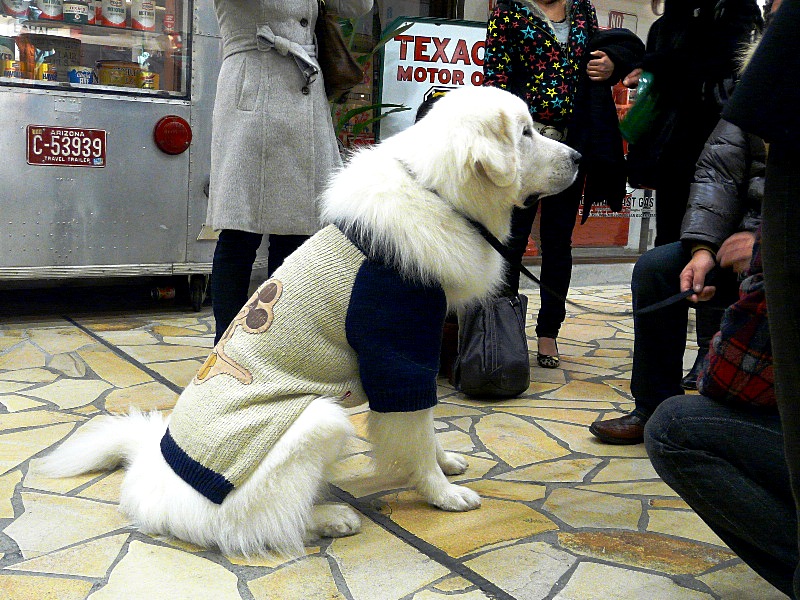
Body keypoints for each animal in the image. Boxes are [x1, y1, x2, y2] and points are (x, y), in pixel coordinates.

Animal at [40, 85, 580, 556]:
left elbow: (423, 431)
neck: (436, 193)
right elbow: (415, 432)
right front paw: (443, 493)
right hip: (321, 419)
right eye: (526, 132)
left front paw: (447, 463)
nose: (578, 158)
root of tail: (151, 488)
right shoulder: (401, 356)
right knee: (258, 525)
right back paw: (330, 518)